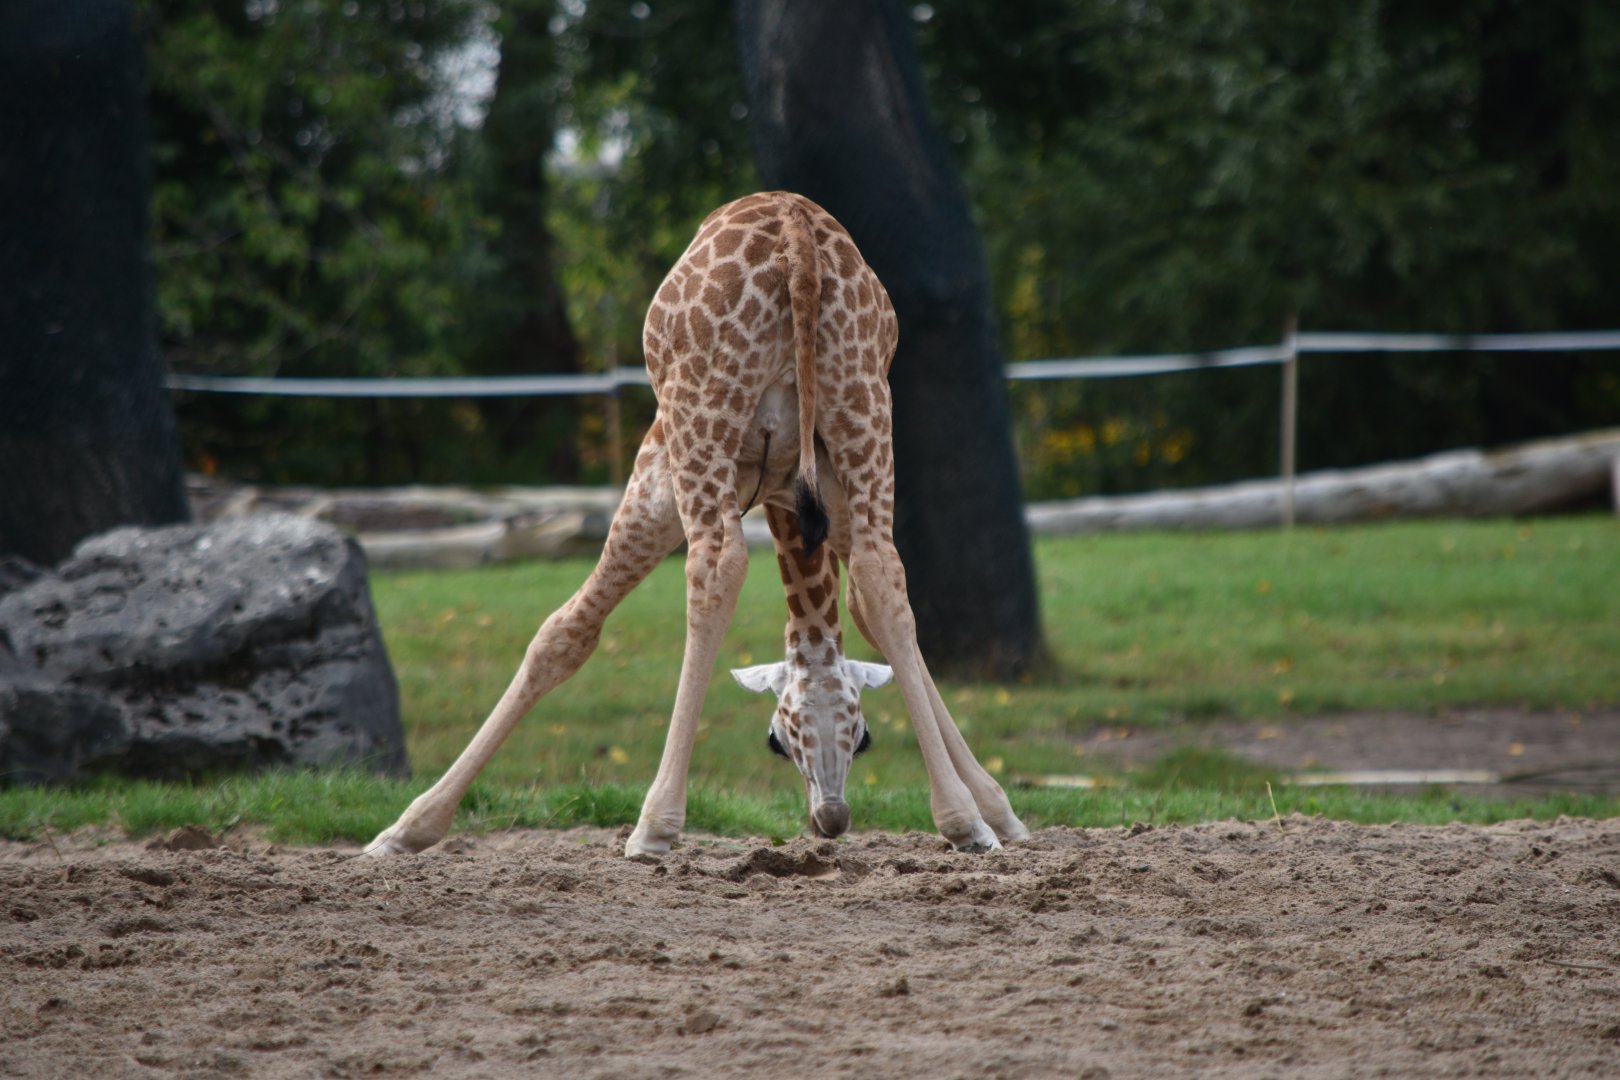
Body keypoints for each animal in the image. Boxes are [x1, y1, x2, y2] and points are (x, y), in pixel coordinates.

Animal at [362, 191, 1028, 859]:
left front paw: (406, 827)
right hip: (864, 411)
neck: (781, 496)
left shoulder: (655, 477)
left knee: (717, 565)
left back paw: (654, 824)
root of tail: (798, 234)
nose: (831, 820)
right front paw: (997, 813)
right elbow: (873, 610)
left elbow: (563, 633)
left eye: (858, 739)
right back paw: (964, 821)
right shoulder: (824, 506)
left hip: (699, 423)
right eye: (784, 739)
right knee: (881, 569)